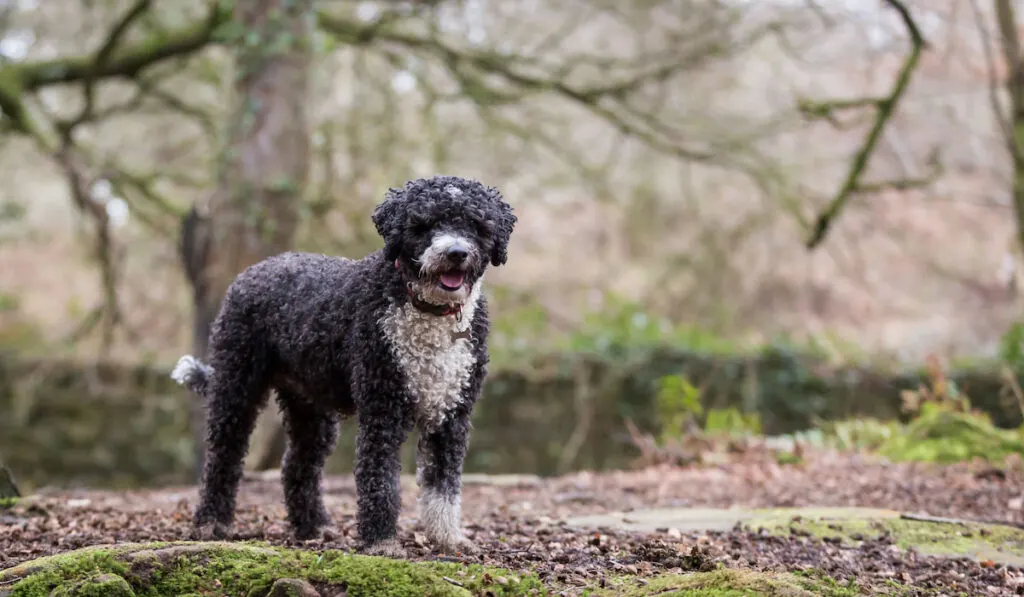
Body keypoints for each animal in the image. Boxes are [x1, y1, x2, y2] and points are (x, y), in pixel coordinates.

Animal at [173, 175, 520, 557]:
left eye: (475, 224)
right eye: (425, 223)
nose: (456, 253)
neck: (428, 311)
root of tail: (256, 269)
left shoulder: (452, 413)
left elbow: (443, 484)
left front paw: (447, 537)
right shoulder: (382, 406)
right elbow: (380, 479)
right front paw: (382, 541)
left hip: (310, 406)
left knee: (297, 465)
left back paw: (313, 526)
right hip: (236, 385)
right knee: (223, 456)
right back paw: (211, 522)